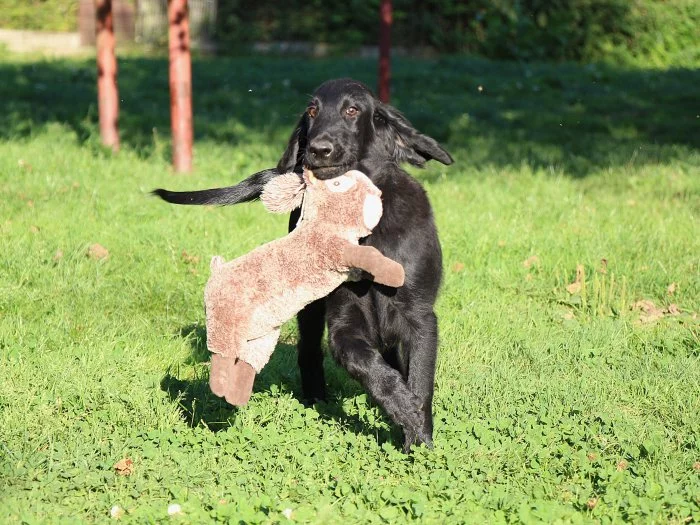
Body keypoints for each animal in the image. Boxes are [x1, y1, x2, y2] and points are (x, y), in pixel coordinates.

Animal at [154, 79, 454, 450]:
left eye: (352, 110)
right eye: (312, 111)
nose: (318, 150)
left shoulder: (420, 317)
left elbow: (420, 382)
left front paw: (419, 440)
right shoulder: (344, 322)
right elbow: (363, 362)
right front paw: (402, 408)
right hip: (309, 304)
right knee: (309, 349)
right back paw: (316, 399)